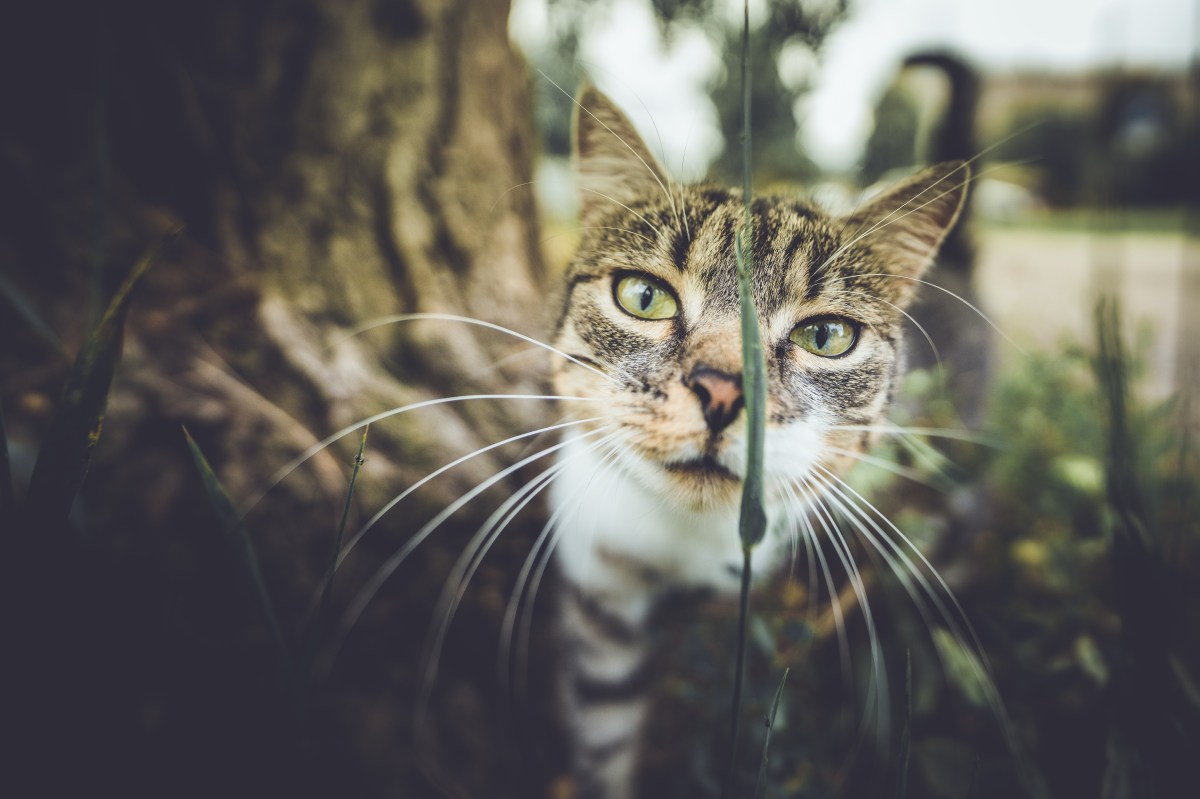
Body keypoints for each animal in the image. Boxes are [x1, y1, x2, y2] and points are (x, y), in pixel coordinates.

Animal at [549, 83, 969, 791]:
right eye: (643, 296)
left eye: (826, 336)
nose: (722, 393)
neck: (682, 540)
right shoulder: (599, 589)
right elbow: (605, 732)